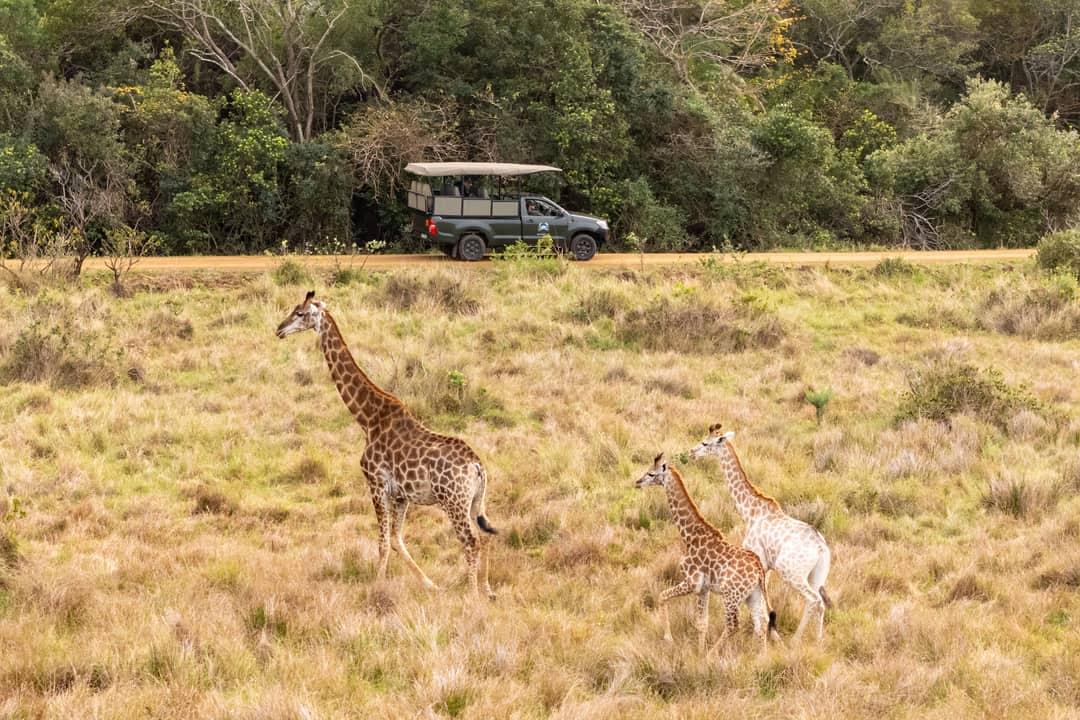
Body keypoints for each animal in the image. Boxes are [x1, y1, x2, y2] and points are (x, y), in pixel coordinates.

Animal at [276, 291, 496, 599]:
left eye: (299, 313)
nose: (279, 329)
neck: (367, 418)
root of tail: (477, 466)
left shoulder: (376, 483)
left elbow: (382, 542)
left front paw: (376, 587)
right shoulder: (401, 495)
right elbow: (395, 539)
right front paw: (431, 584)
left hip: (453, 501)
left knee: (471, 541)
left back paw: (472, 595)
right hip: (476, 500)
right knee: (485, 536)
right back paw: (487, 590)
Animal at [635, 453, 777, 655]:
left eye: (651, 473)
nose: (637, 482)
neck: (690, 536)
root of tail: (759, 571)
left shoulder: (691, 583)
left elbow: (662, 596)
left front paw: (671, 640)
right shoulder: (704, 589)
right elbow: (702, 623)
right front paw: (699, 652)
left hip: (731, 595)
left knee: (734, 624)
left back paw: (712, 654)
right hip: (753, 595)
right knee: (761, 622)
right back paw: (761, 658)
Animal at [690, 423, 833, 642]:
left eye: (706, 442)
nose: (692, 452)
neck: (749, 511)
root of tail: (821, 548)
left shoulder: (760, 560)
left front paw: (767, 634)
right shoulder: (766, 566)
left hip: (791, 572)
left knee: (813, 600)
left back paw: (795, 641)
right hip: (817, 575)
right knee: (821, 603)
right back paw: (818, 641)